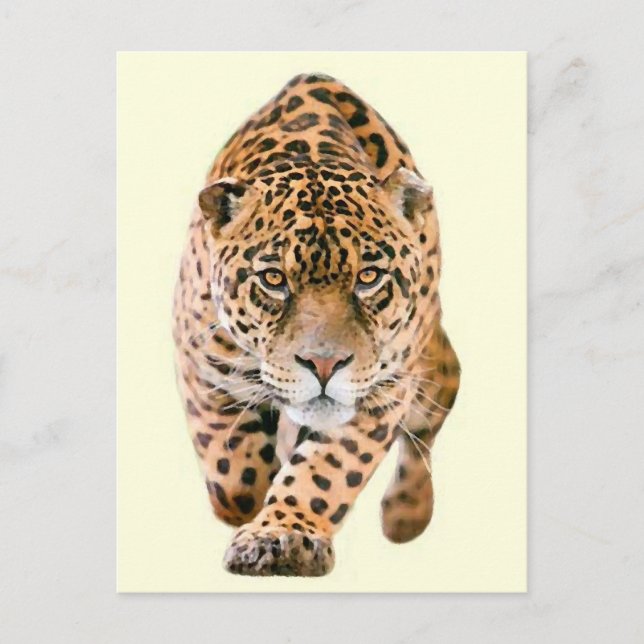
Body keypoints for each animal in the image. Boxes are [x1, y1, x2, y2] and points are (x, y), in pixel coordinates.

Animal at [172, 73, 460, 576]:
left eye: (369, 277)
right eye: (274, 279)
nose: (324, 366)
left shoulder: (382, 391)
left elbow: (326, 471)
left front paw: (283, 536)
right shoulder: (203, 366)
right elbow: (234, 478)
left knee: (434, 410)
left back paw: (406, 513)